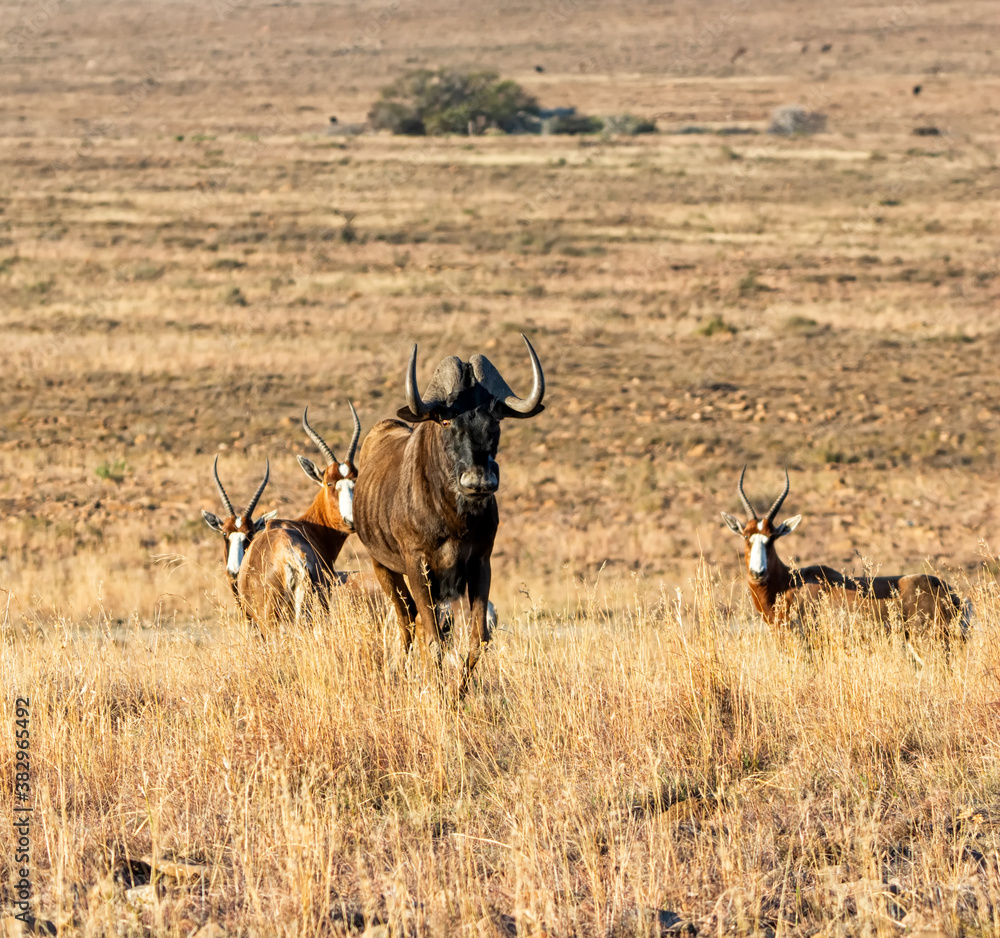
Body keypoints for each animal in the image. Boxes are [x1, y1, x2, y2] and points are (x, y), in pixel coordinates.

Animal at [353, 334, 544, 695]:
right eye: (445, 419)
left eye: (495, 419)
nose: (479, 481)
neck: (455, 519)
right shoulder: (418, 566)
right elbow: (432, 640)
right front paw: (439, 692)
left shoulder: (479, 564)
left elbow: (477, 638)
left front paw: (458, 693)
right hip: (384, 568)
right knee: (406, 623)